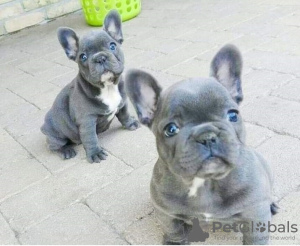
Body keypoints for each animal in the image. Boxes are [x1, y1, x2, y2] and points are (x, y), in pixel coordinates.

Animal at [40, 10, 139, 163]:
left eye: (112, 46)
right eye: (83, 57)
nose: (100, 58)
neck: (107, 87)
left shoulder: (122, 103)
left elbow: (124, 114)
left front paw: (130, 124)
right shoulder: (86, 120)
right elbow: (90, 138)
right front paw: (95, 153)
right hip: (55, 134)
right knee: (54, 146)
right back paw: (66, 150)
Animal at [125, 44, 278, 244]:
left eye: (232, 115)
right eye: (171, 129)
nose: (207, 136)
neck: (206, 182)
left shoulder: (255, 211)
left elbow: (255, 236)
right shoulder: (165, 212)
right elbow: (173, 228)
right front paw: (174, 241)